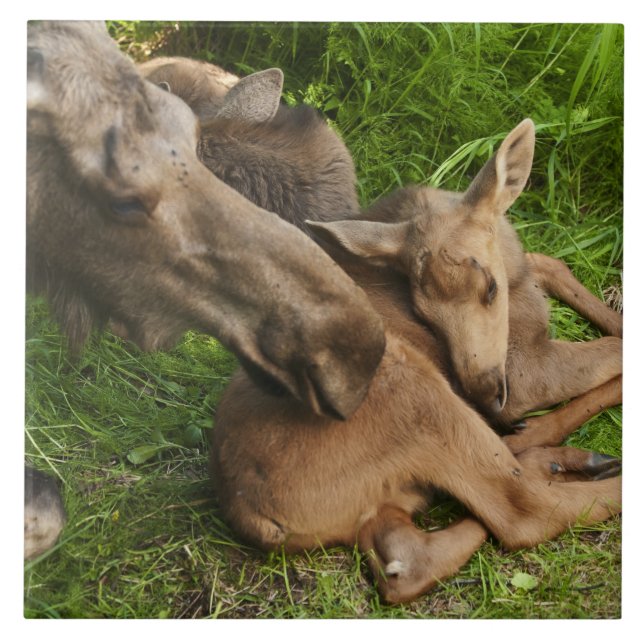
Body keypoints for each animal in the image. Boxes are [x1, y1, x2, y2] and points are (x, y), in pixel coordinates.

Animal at [209, 119, 622, 603]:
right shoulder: (523, 373)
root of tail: (249, 515)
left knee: (407, 565)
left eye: (489, 288)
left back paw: (555, 459)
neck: (516, 279)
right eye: (424, 313)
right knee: (524, 510)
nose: (483, 392)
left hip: (378, 504)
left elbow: (552, 262)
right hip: (413, 389)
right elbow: (615, 348)